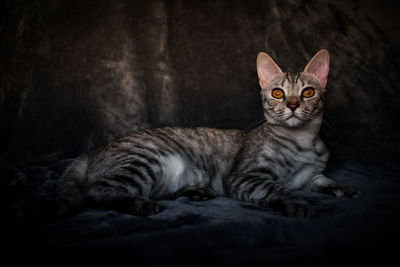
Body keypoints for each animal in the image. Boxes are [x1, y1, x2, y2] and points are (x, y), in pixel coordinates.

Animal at [55, 49, 360, 218]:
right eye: (277, 93)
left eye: (307, 93)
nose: (293, 104)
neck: (303, 143)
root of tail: (93, 151)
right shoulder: (245, 176)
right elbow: (277, 188)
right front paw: (296, 202)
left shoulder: (308, 175)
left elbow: (323, 180)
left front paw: (343, 188)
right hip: (145, 161)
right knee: (94, 192)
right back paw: (140, 204)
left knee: (157, 191)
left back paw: (195, 192)